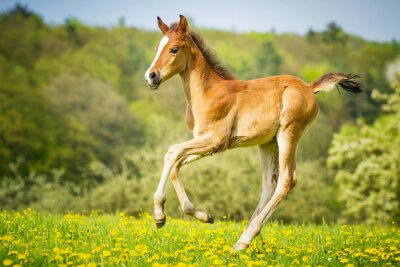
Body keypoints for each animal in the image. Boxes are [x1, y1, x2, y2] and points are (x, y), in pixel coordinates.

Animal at [145, 15, 362, 251]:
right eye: (157, 48)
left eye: (174, 49)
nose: (151, 76)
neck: (208, 92)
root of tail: (309, 87)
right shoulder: (207, 143)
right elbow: (176, 165)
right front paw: (204, 216)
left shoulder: (215, 140)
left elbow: (172, 152)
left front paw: (159, 216)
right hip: (267, 144)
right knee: (269, 183)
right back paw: (242, 239)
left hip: (289, 134)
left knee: (286, 180)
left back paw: (245, 240)